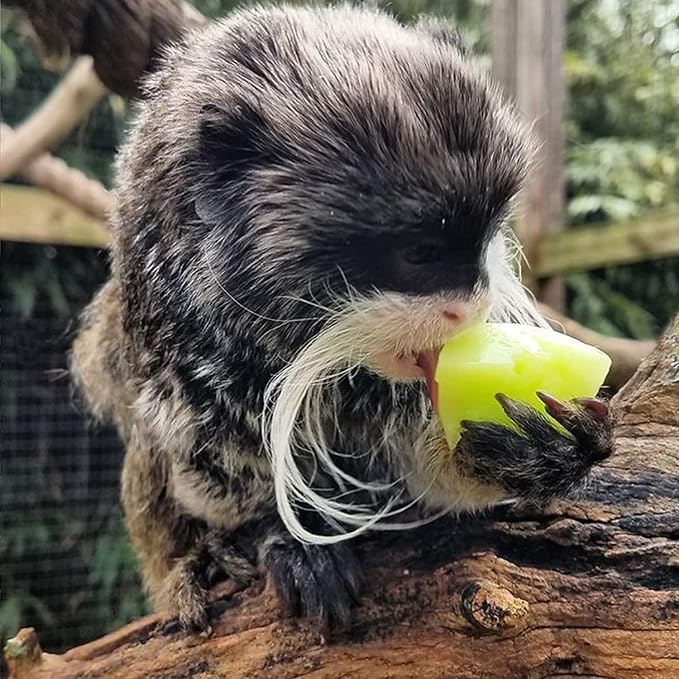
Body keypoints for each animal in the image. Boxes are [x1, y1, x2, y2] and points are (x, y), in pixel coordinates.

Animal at [72, 5, 614, 632]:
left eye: (483, 238)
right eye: (421, 253)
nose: (470, 306)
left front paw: (541, 454)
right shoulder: (182, 353)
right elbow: (215, 463)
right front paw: (286, 535)